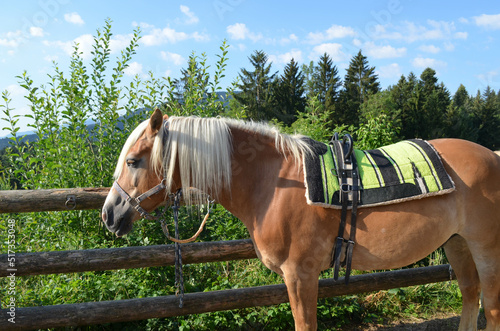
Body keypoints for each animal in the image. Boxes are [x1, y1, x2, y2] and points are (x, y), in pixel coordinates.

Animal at [102, 109, 500, 331]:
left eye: (134, 161)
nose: (110, 214)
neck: (271, 182)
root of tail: (493, 156)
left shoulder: (301, 274)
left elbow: (304, 324)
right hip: (457, 243)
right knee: (470, 296)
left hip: (485, 249)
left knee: (491, 308)